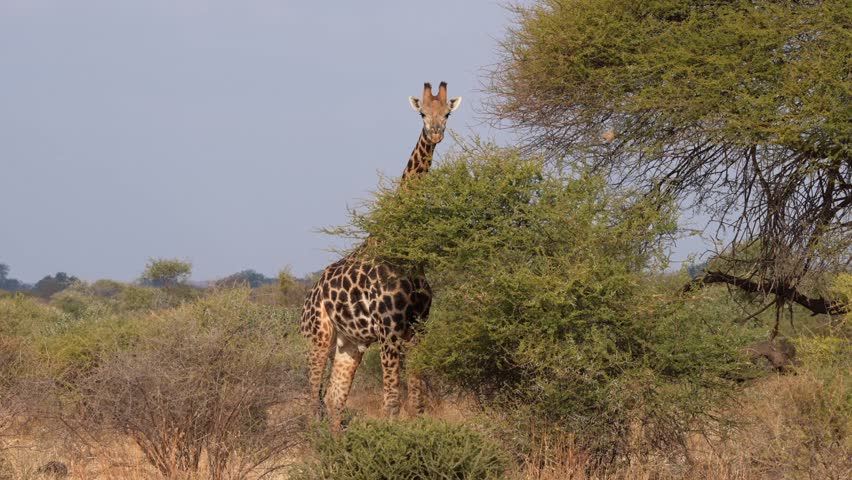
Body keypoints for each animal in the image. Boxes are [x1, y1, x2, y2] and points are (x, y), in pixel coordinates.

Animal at [300, 82, 461, 433]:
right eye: (421, 113)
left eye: (447, 113)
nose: (435, 133)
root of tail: (309, 296)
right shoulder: (389, 330)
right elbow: (391, 402)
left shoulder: (418, 328)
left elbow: (416, 400)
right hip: (317, 337)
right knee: (310, 397)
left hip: (350, 343)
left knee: (333, 398)